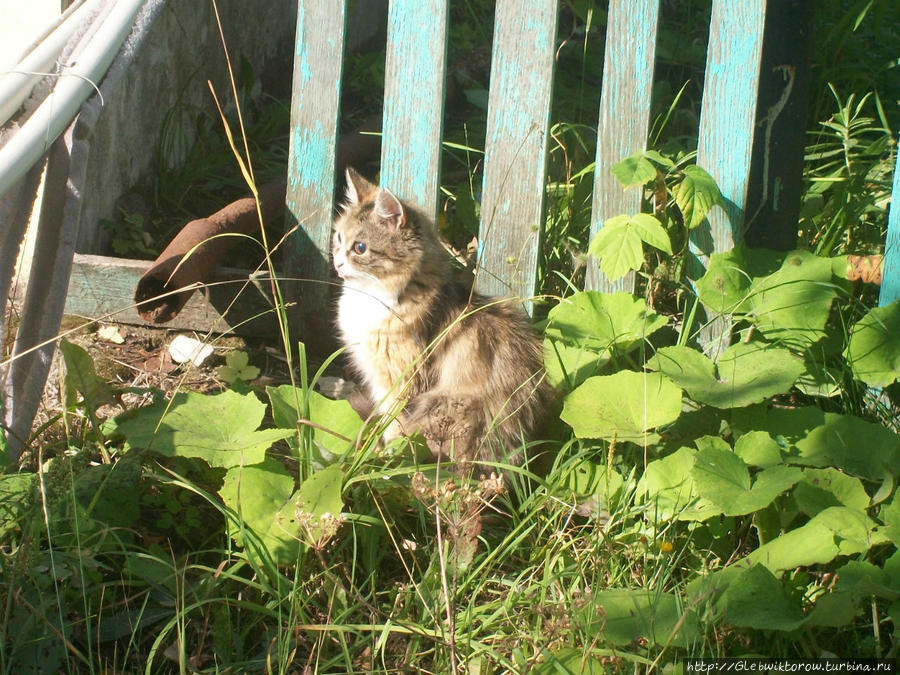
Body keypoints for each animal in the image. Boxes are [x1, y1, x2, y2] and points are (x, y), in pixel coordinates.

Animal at [334, 166, 552, 468]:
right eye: (338, 239)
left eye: (360, 248)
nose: (337, 263)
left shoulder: (399, 382)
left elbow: (394, 428)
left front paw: (387, 459)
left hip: (444, 404)